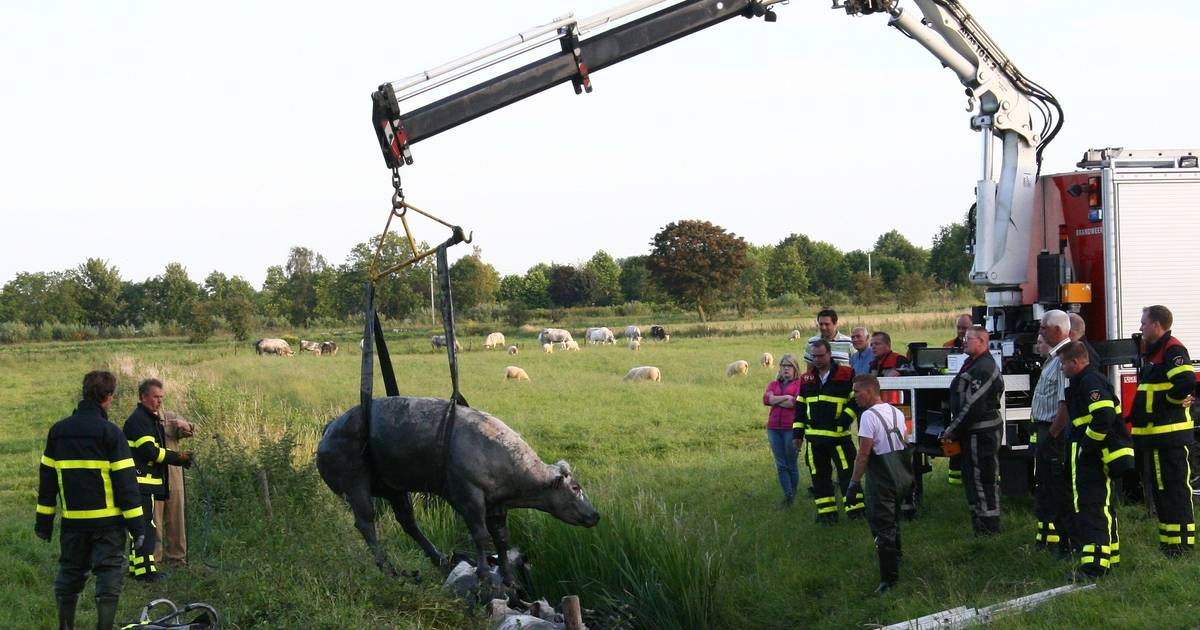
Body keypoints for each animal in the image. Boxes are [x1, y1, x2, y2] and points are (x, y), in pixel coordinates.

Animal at [319, 398, 600, 585]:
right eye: (576, 488)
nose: (595, 515)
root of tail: (330, 426)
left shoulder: (497, 505)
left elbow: (501, 538)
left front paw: (510, 579)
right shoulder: (468, 496)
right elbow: (480, 535)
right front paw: (484, 574)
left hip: (395, 488)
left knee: (407, 521)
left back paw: (438, 558)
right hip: (355, 482)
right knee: (366, 523)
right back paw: (388, 568)